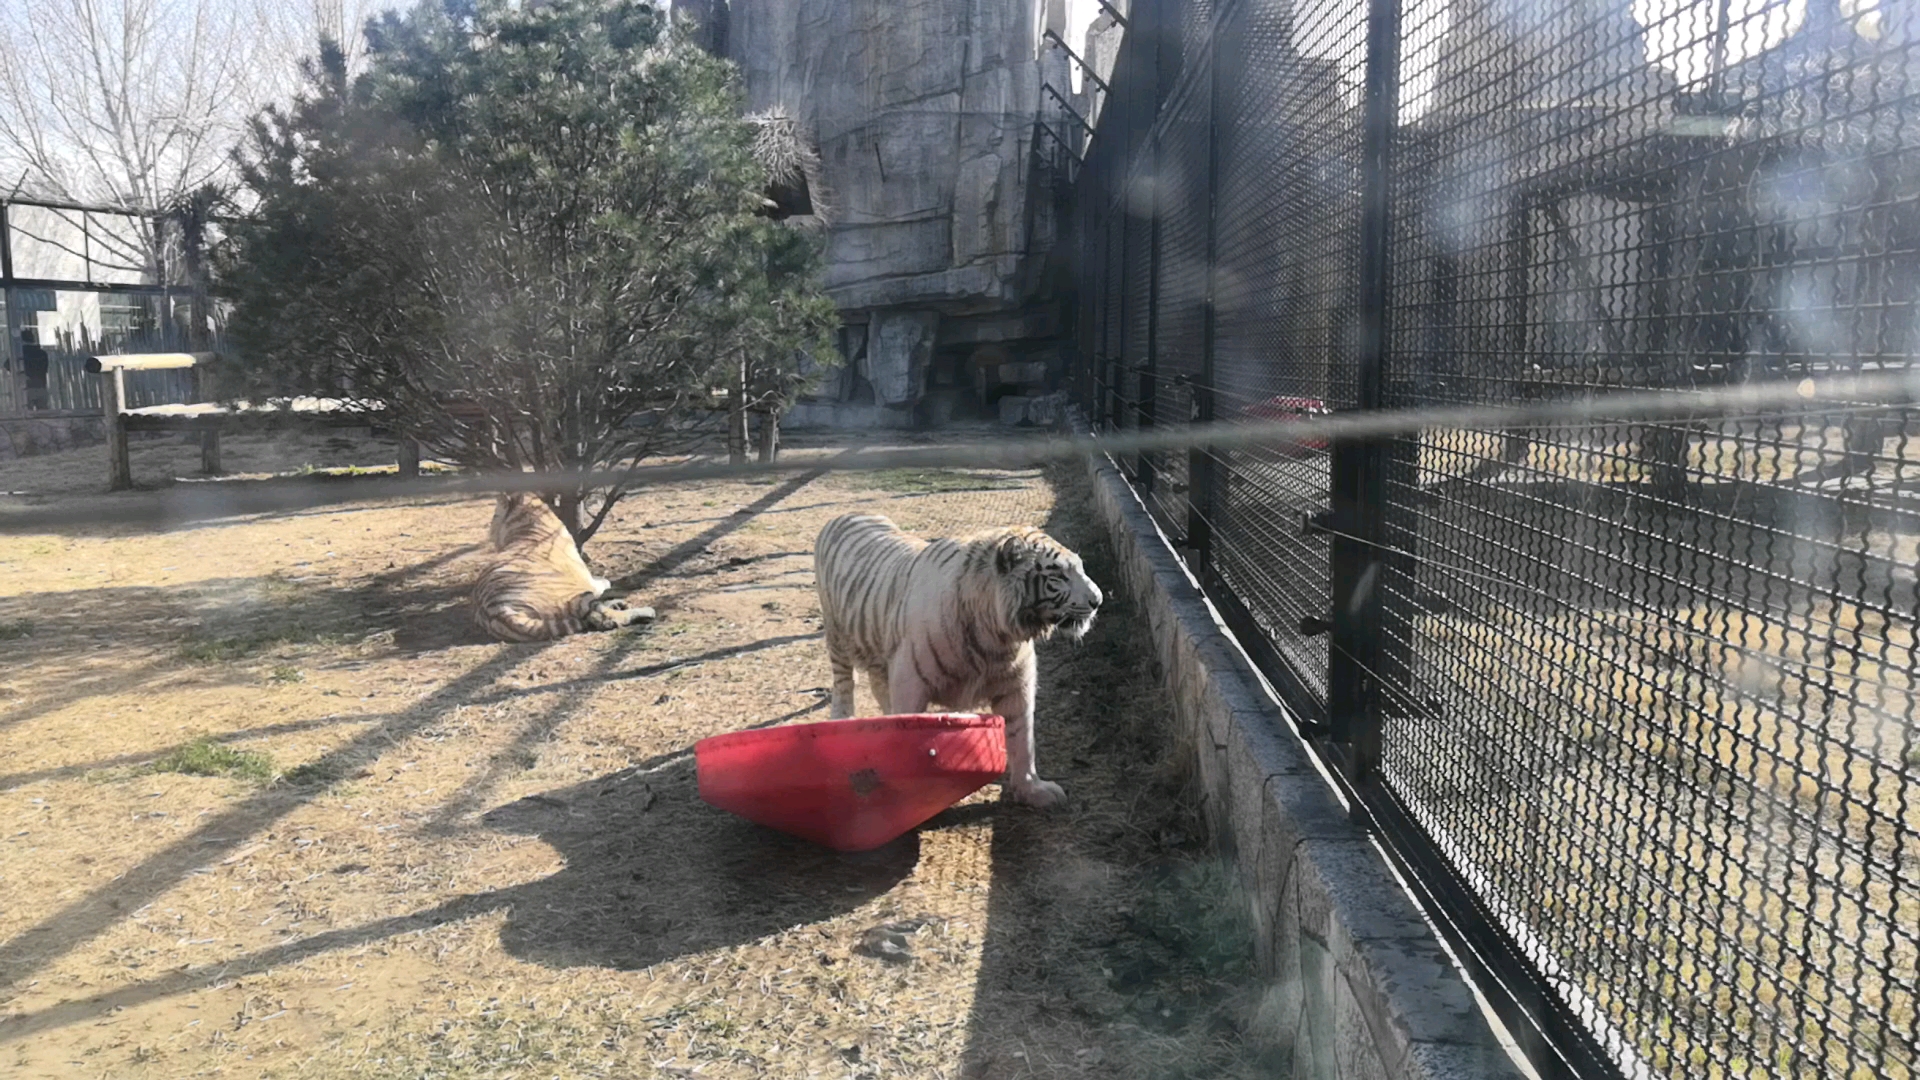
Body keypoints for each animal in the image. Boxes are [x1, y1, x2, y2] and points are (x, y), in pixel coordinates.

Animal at [471, 492, 653, 643]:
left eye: (495, 515)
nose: (489, 530)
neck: (529, 526)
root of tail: (500, 612)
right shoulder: (588, 580)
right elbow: (603, 582)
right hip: (577, 597)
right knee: (605, 618)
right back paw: (646, 611)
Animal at [812, 511, 1104, 808]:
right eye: (1059, 575)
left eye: (1080, 567)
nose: (1098, 601)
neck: (998, 637)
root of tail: (846, 514)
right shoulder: (910, 680)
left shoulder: (1017, 685)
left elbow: (1022, 739)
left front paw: (1033, 790)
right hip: (837, 636)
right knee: (844, 683)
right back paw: (842, 718)